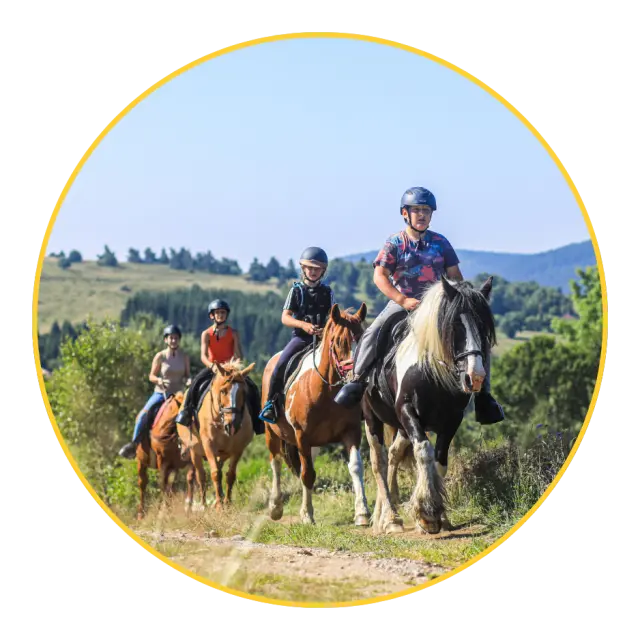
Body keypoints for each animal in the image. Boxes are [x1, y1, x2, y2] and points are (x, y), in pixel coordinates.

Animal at [135, 391, 195, 520]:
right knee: (143, 483)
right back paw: (141, 514)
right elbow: (163, 484)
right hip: (141, 462)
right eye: (182, 423)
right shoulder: (162, 461)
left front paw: (188, 508)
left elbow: (189, 478)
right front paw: (163, 513)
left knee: (170, 486)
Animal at [177, 358, 258, 511]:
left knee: (220, 469)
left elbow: (230, 475)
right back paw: (204, 504)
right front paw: (220, 504)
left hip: (223, 453)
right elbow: (214, 473)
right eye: (223, 391)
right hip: (194, 451)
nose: (232, 424)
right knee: (201, 476)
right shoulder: (208, 445)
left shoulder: (238, 449)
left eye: (244, 392)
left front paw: (227, 502)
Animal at [261, 302, 370, 527]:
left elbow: (356, 467)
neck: (326, 392)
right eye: (339, 341)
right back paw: (275, 507)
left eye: (363, 338)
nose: (357, 378)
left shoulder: (351, 431)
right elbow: (307, 474)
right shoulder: (302, 436)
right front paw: (307, 515)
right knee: (276, 463)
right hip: (271, 432)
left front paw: (362, 513)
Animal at [361, 276, 497, 535]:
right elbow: (424, 451)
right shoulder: (407, 411)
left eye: (484, 326)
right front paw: (426, 514)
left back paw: (387, 517)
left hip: (401, 428)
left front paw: (442, 516)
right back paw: (389, 518)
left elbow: (439, 462)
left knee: (393, 455)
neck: (430, 371)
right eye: (454, 325)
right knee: (378, 462)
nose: (475, 377)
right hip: (372, 418)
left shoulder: (452, 419)